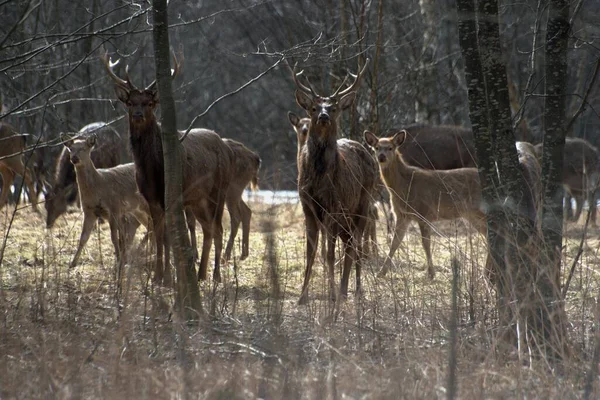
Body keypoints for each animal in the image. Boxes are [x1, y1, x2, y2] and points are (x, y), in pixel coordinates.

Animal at [61, 136, 150, 270]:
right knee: (150, 227)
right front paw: (72, 263)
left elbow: (115, 238)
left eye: (84, 148)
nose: (74, 158)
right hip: (137, 209)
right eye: (71, 149)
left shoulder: (113, 208)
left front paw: (118, 261)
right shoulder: (89, 211)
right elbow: (83, 238)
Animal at [101, 49, 234, 284]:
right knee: (208, 229)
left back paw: (216, 275)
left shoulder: (171, 195)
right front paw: (158, 276)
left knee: (218, 229)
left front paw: (169, 277)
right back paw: (201, 274)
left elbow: (168, 238)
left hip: (218, 190)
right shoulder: (151, 198)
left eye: (150, 103)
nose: (138, 114)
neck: (152, 169)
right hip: (198, 200)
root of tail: (225, 147)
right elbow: (159, 235)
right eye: (130, 102)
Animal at [290, 58, 376, 304]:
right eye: (313, 107)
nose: (323, 116)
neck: (319, 180)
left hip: (363, 203)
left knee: (356, 245)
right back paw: (345, 290)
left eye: (334, 108)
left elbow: (328, 254)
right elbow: (311, 253)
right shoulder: (307, 207)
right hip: (346, 216)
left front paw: (330, 294)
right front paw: (302, 296)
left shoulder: (333, 206)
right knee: (348, 245)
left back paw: (355, 290)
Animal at [366, 130, 488, 278]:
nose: (381, 157)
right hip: (471, 214)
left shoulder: (424, 212)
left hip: (480, 209)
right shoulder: (402, 215)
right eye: (376, 147)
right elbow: (395, 243)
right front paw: (381, 273)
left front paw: (430, 273)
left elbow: (425, 243)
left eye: (390, 148)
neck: (404, 186)